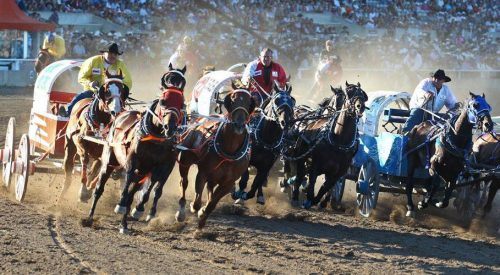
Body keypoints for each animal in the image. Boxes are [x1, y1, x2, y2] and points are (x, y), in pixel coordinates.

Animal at [61, 69, 129, 203]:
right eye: (106, 90)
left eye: (122, 90)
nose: (116, 111)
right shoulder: (81, 144)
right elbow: (85, 163)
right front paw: (82, 191)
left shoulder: (107, 152)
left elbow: (99, 172)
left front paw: (89, 190)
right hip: (70, 145)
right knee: (69, 167)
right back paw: (63, 193)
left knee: (94, 169)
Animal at [83, 65, 187, 233]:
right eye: (163, 101)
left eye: (182, 103)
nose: (169, 127)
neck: (156, 139)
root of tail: (120, 114)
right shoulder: (133, 161)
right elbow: (127, 187)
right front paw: (120, 205)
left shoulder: (163, 166)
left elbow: (150, 189)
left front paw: (139, 210)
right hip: (109, 162)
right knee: (99, 188)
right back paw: (90, 217)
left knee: (134, 192)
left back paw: (125, 223)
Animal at [175, 82, 254, 231]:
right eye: (232, 99)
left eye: (249, 101)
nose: (239, 124)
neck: (229, 151)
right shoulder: (203, 173)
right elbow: (197, 201)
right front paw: (196, 209)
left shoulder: (228, 183)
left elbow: (212, 204)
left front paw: (202, 219)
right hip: (185, 159)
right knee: (184, 182)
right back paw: (181, 212)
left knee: (210, 191)